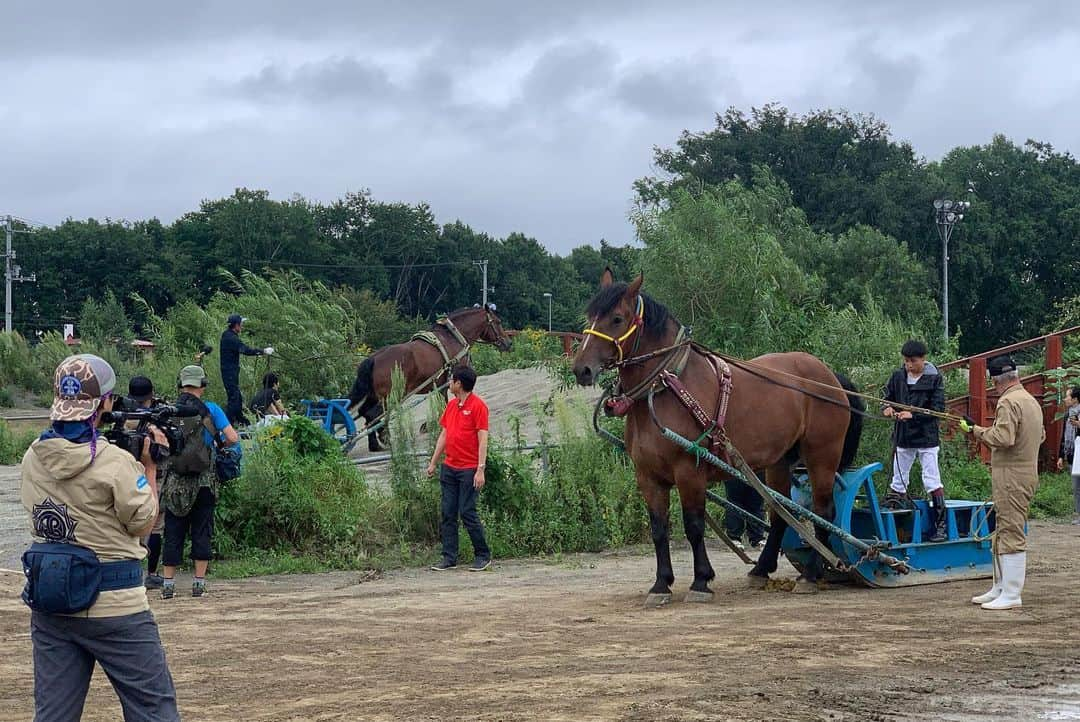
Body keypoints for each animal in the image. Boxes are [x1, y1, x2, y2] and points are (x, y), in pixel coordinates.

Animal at [347, 304, 511, 451]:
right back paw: (384, 439)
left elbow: (443, 402)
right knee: (374, 414)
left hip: (374, 396)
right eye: (498, 322)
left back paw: (374, 445)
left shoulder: (440, 384)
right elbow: (448, 403)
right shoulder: (453, 382)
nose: (507, 343)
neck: (452, 338)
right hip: (390, 395)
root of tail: (374, 358)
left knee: (366, 413)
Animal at [570, 267, 864, 600]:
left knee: (823, 511)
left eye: (617, 318)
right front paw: (661, 584)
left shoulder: (689, 472)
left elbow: (694, 525)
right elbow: (659, 529)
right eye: (590, 316)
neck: (666, 386)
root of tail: (830, 377)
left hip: (821, 455)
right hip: (779, 462)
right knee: (780, 514)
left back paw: (812, 574)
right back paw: (762, 569)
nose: (581, 369)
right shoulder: (648, 476)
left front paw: (701, 581)